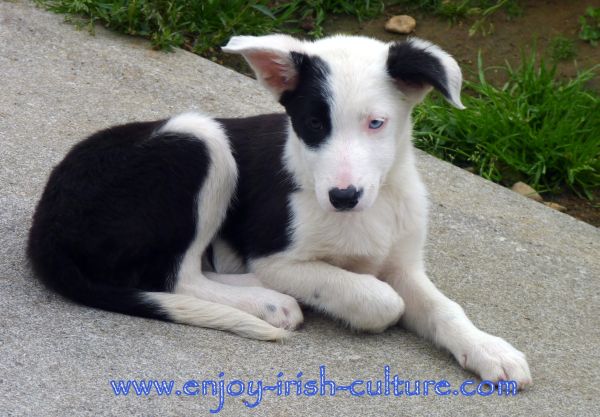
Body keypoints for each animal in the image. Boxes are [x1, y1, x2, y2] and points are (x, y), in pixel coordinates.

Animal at [28, 33, 532, 386]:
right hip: (199, 140)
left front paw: (489, 349)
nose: (343, 197)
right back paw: (267, 300)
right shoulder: (278, 256)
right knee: (177, 276)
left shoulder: (403, 263)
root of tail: (45, 225)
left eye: (376, 123)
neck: (368, 208)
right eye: (312, 123)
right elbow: (380, 298)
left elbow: (444, 308)